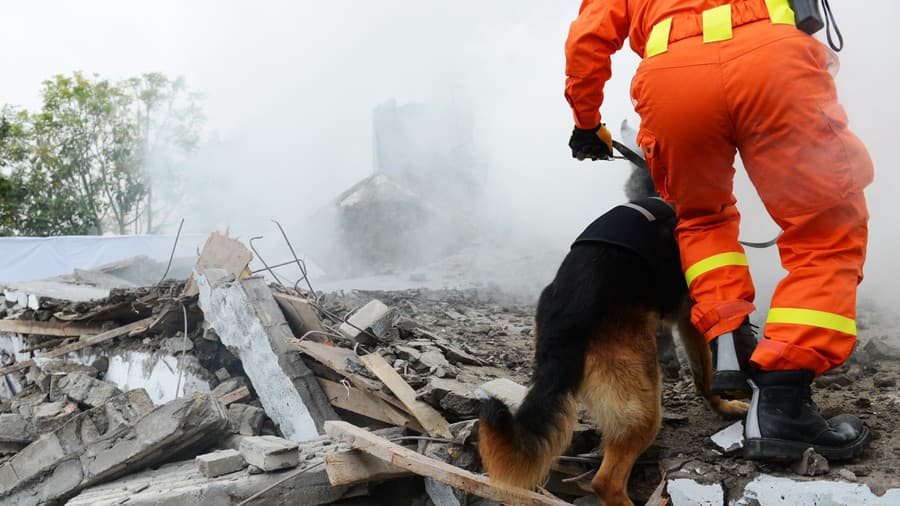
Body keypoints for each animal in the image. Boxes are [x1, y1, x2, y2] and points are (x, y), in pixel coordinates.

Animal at [478, 142, 744, 506]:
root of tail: (563, 326)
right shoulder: (692, 313)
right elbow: (705, 373)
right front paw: (724, 405)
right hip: (642, 402)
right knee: (607, 481)